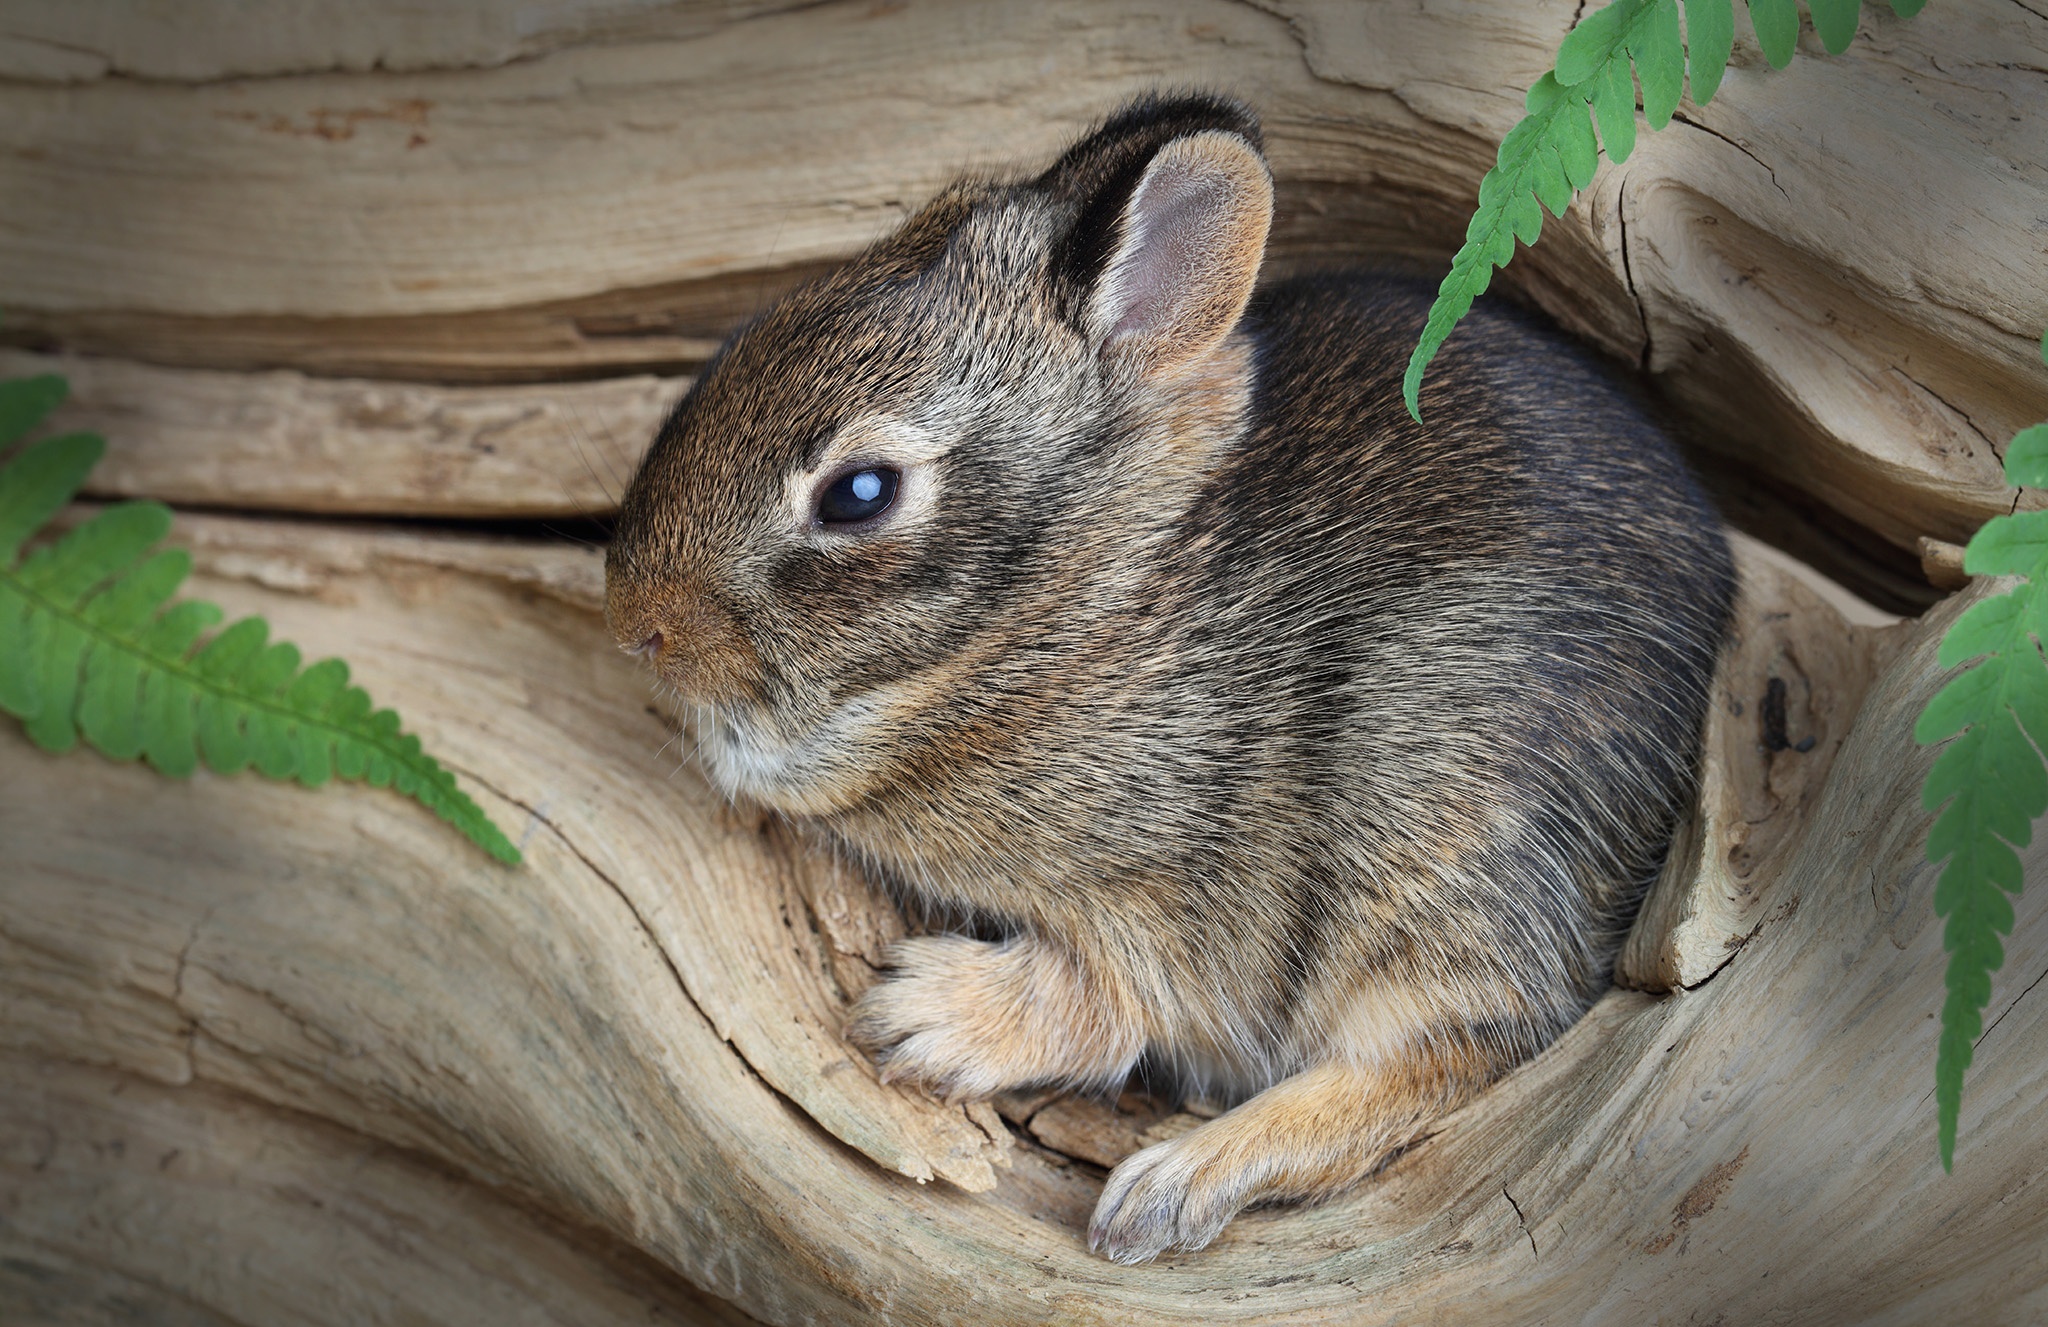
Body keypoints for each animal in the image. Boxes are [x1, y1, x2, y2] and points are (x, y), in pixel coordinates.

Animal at [602, 93, 1728, 1261]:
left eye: (858, 493)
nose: (636, 621)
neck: (1091, 599)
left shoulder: (1178, 904)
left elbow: (1104, 999)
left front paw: (921, 1014)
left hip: (1430, 843)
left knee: (1465, 1043)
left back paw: (1170, 1183)